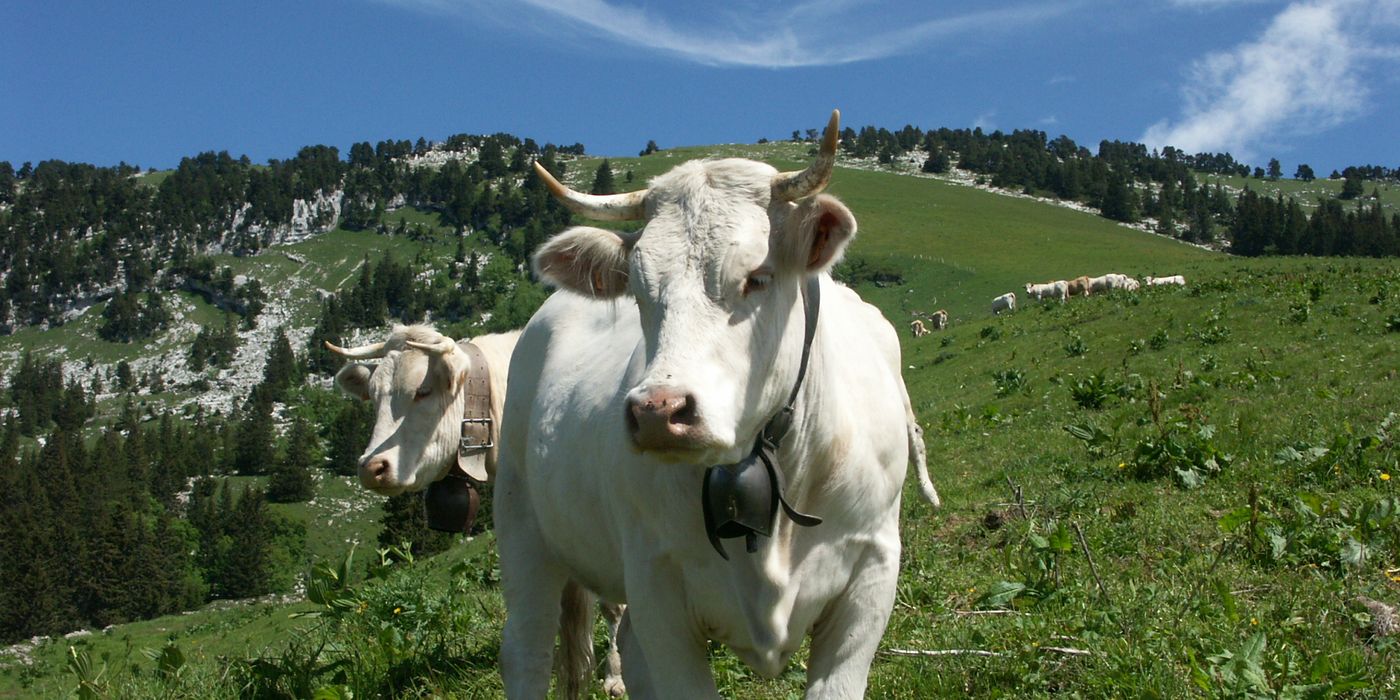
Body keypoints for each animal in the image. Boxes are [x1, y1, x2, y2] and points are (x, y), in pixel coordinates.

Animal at [496, 110, 938, 698]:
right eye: (638, 291)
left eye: (757, 276)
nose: (658, 412)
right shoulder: (656, 585)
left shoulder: (872, 571)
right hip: (522, 529)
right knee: (527, 650)